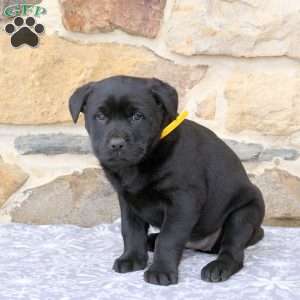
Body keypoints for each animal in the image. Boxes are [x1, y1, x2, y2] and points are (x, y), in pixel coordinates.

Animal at [69, 75, 264, 286]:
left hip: (244, 214)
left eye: (137, 116)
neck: (140, 163)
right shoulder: (128, 200)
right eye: (100, 116)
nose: (116, 144)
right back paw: (151, 240)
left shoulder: (183, 201)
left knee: (232, 249)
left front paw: (160, 270)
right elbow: (131, 231)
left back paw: (218, 267)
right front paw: (132, 258)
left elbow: (169, 238)